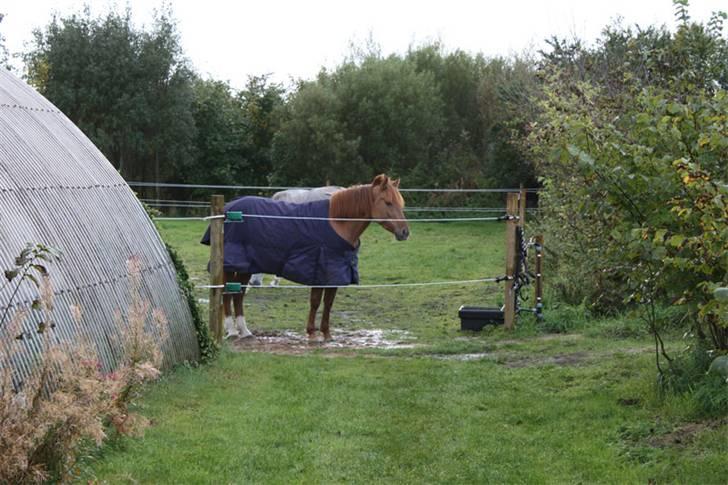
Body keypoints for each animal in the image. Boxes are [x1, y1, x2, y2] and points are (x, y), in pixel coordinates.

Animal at [202, 175, 410, 340]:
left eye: (401, 204)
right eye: (388, 202)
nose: (404, 232)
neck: (337, 223)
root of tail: (228, 209)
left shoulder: (333, 275)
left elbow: (328, 303)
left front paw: (327, 334)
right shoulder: (319, 271)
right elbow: (316, 302)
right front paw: (312, 333)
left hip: (246, 267)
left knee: (237, 296)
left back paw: (245, 331)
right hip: (233, 266)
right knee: (228, 294)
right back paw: (232, 331)